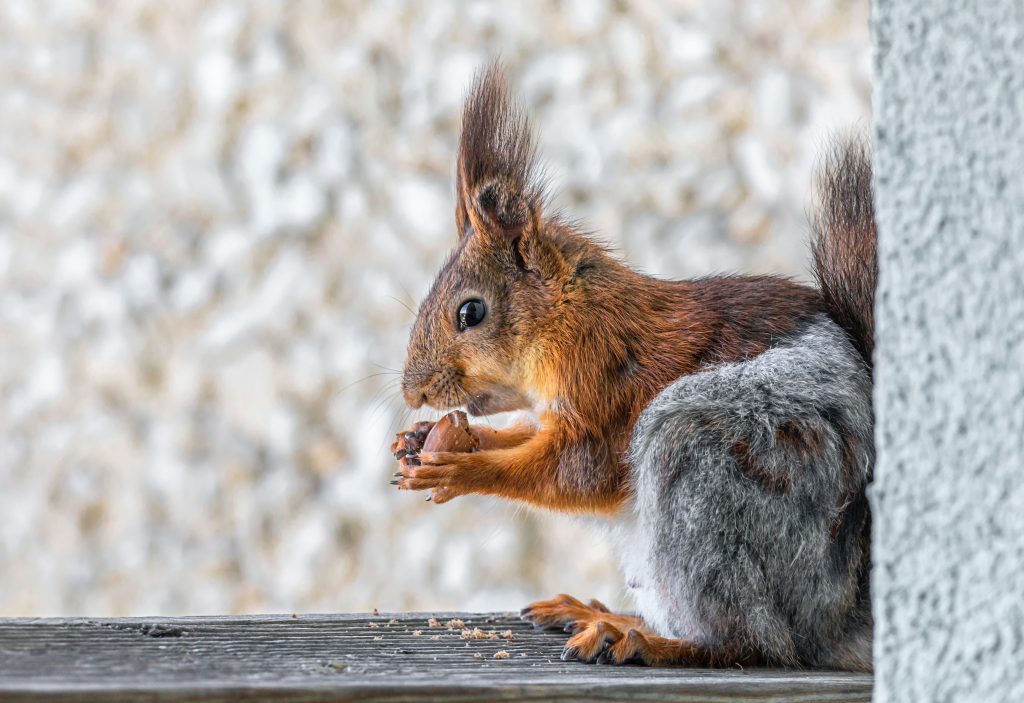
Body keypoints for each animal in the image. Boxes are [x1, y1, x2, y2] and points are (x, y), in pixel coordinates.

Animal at [387, 64, 876, 671]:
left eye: (470, 312)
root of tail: (835, 619)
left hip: (701, 460)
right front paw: (427, 439)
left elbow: (578, 473)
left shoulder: (606, 387)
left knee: (753, 644)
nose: (413, 393)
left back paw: (642, 640)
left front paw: (459, 470)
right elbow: (525, 436)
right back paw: (602, 615)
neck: (570, 314)